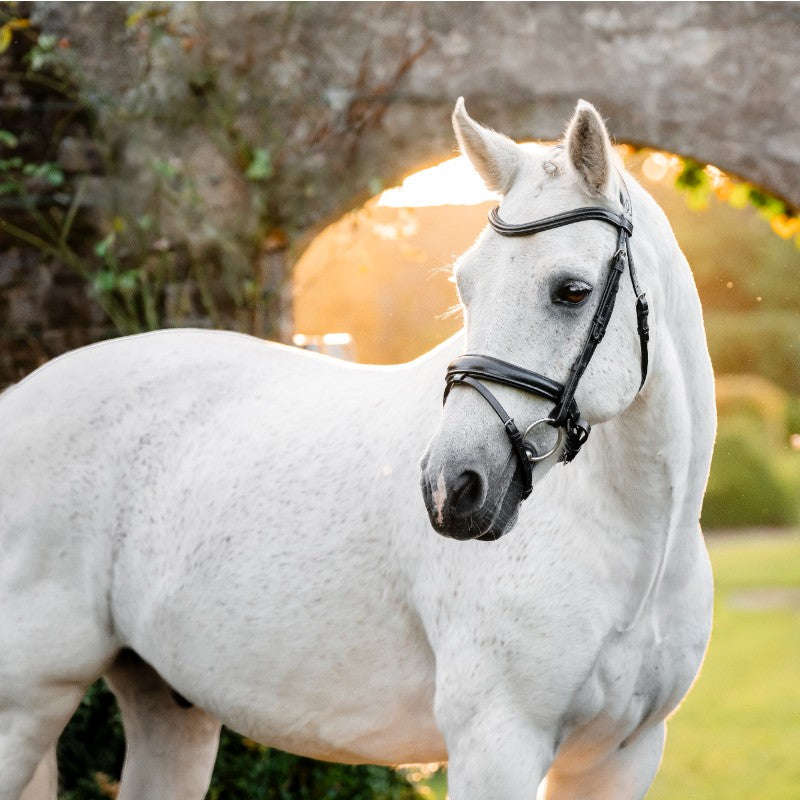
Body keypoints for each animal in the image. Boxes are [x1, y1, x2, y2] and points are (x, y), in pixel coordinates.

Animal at [2, 98, 715, 800]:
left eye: (571, 290)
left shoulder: (620, 756)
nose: (451, 486)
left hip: (170, 711)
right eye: (466, 285)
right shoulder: (497, 746)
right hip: (25, 706)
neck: (634, 548)